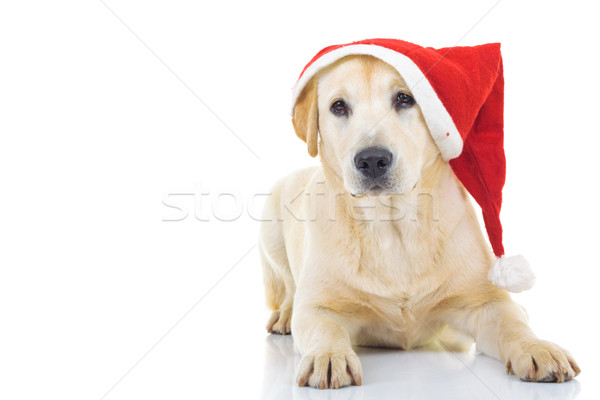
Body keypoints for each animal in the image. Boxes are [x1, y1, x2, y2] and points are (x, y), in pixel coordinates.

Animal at [256, 53, 576, 388]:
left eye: (404, 98)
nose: (372, 160)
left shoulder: (484, 304)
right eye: (338, 106)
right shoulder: (319, 306)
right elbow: (323, 325)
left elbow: (511, 322)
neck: (392, 227)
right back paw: (285, 314)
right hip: (270, 221)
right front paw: (328, 355)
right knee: (288, 288)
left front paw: (537, 347)